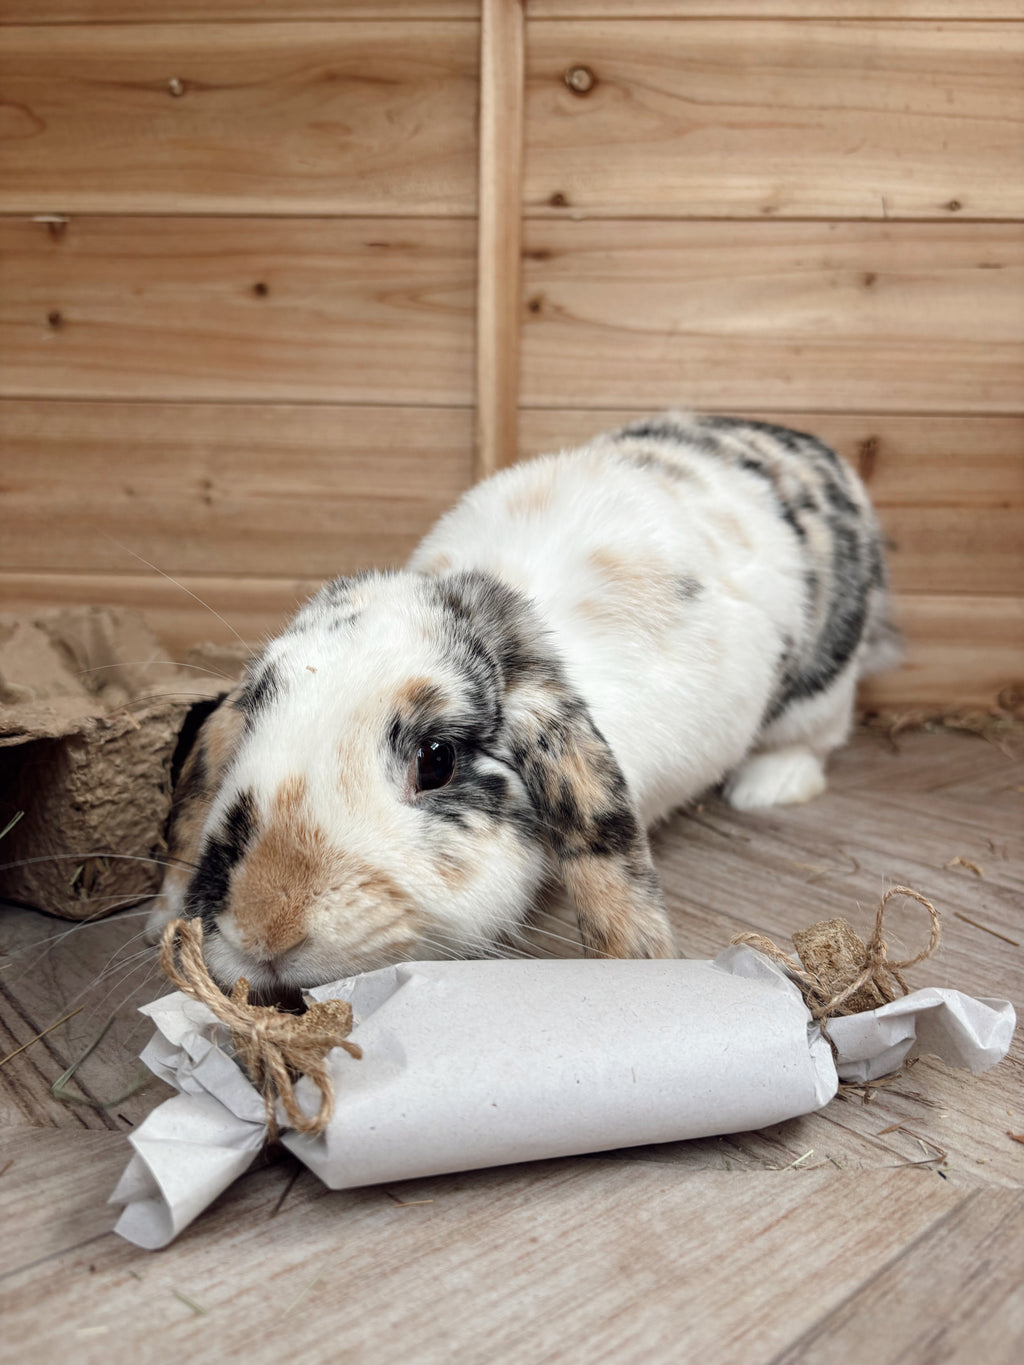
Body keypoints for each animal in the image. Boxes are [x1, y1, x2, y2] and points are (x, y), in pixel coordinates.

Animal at [149, 412, 898, 996]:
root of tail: (813, 447)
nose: (264, 929)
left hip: (823, 683)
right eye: (250, 729)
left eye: (437, 759)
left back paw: (766, 785)